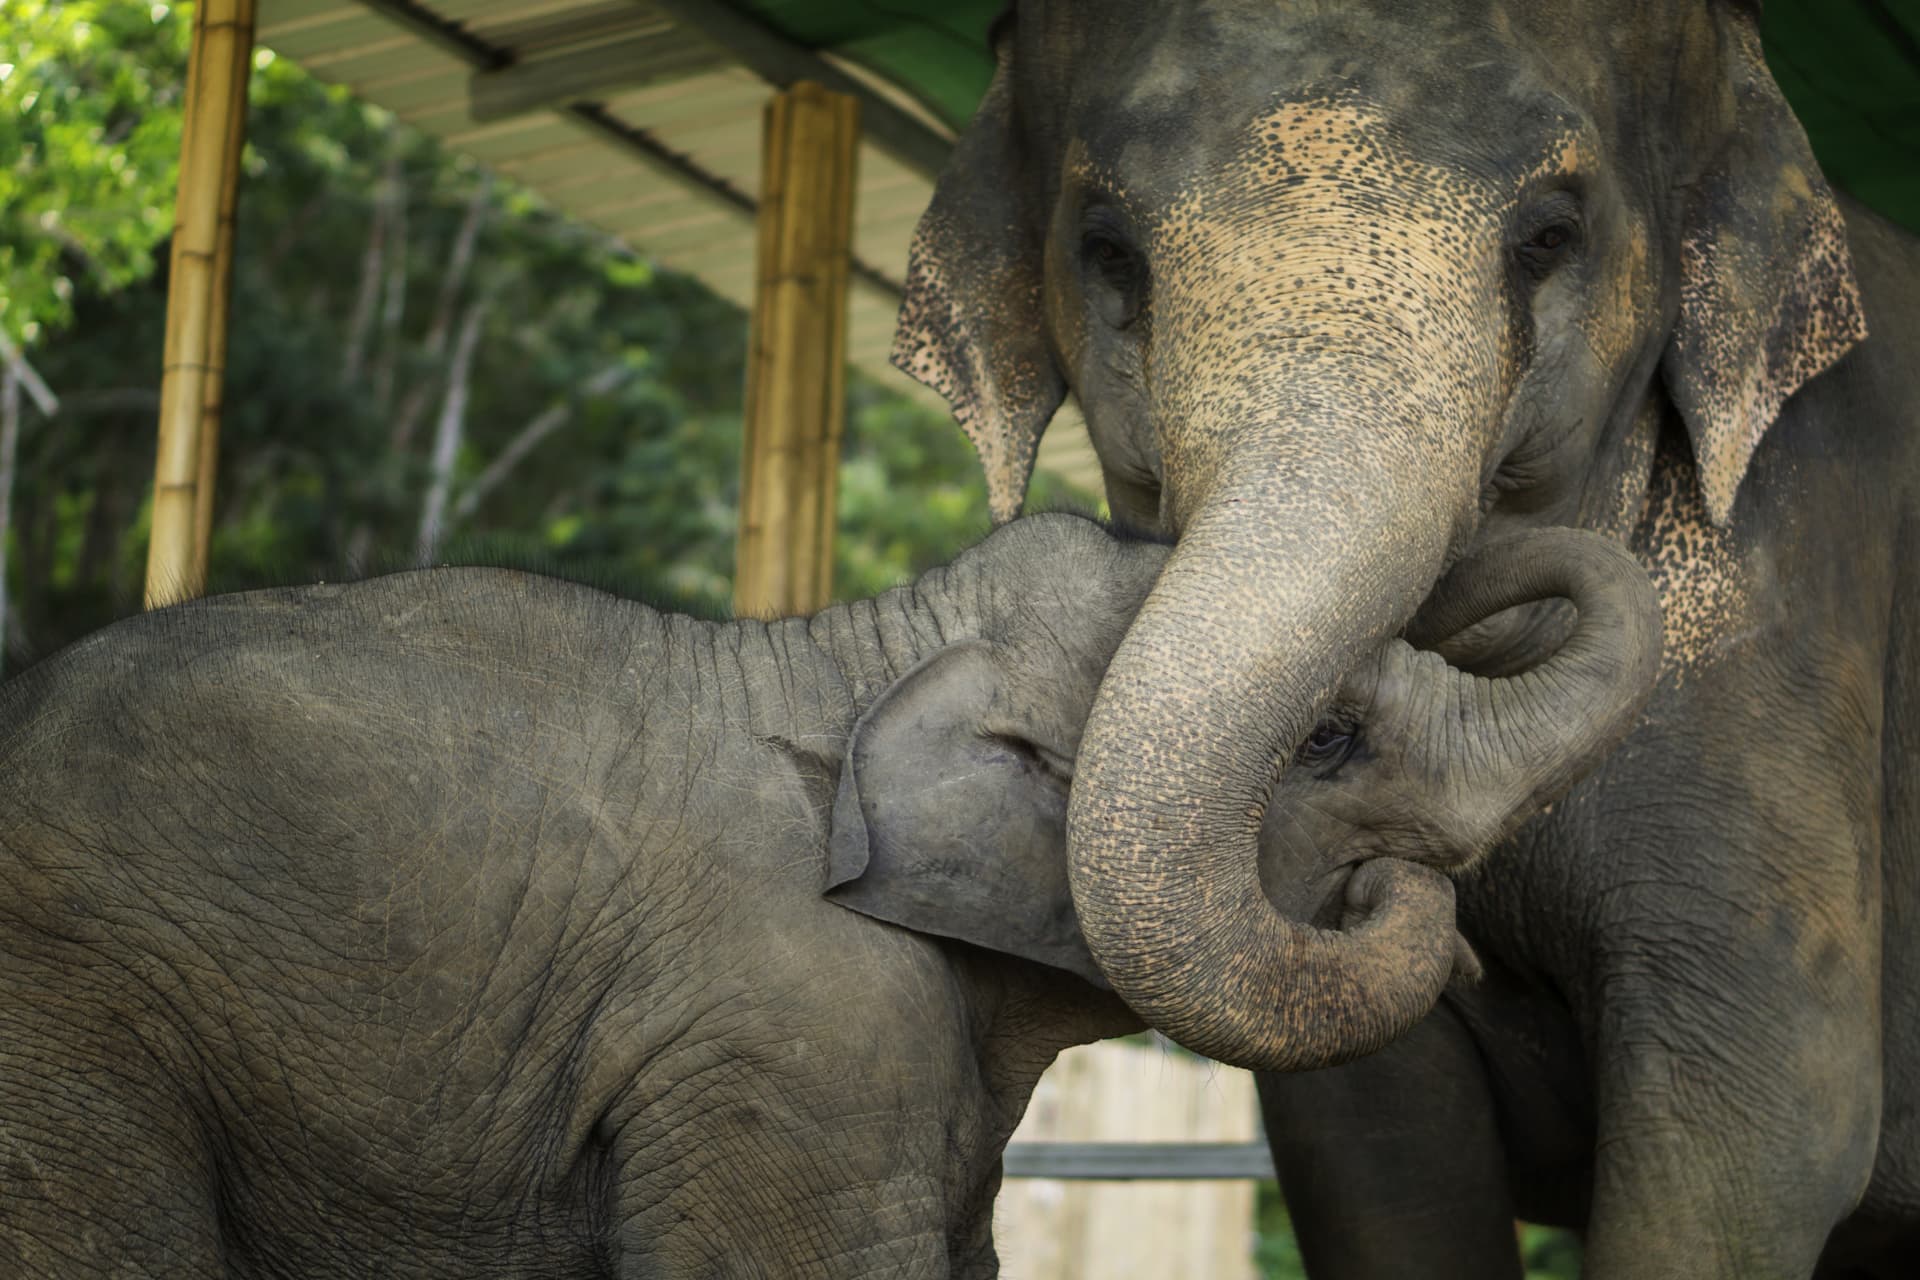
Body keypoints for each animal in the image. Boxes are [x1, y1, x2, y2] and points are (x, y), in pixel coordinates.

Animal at [894, 1, 1920, 1276]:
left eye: (1549, 235)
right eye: (1109, 250)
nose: (1395, 876)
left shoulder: (1792, 617)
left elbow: (1761, 1140)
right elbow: (1375, 1150)